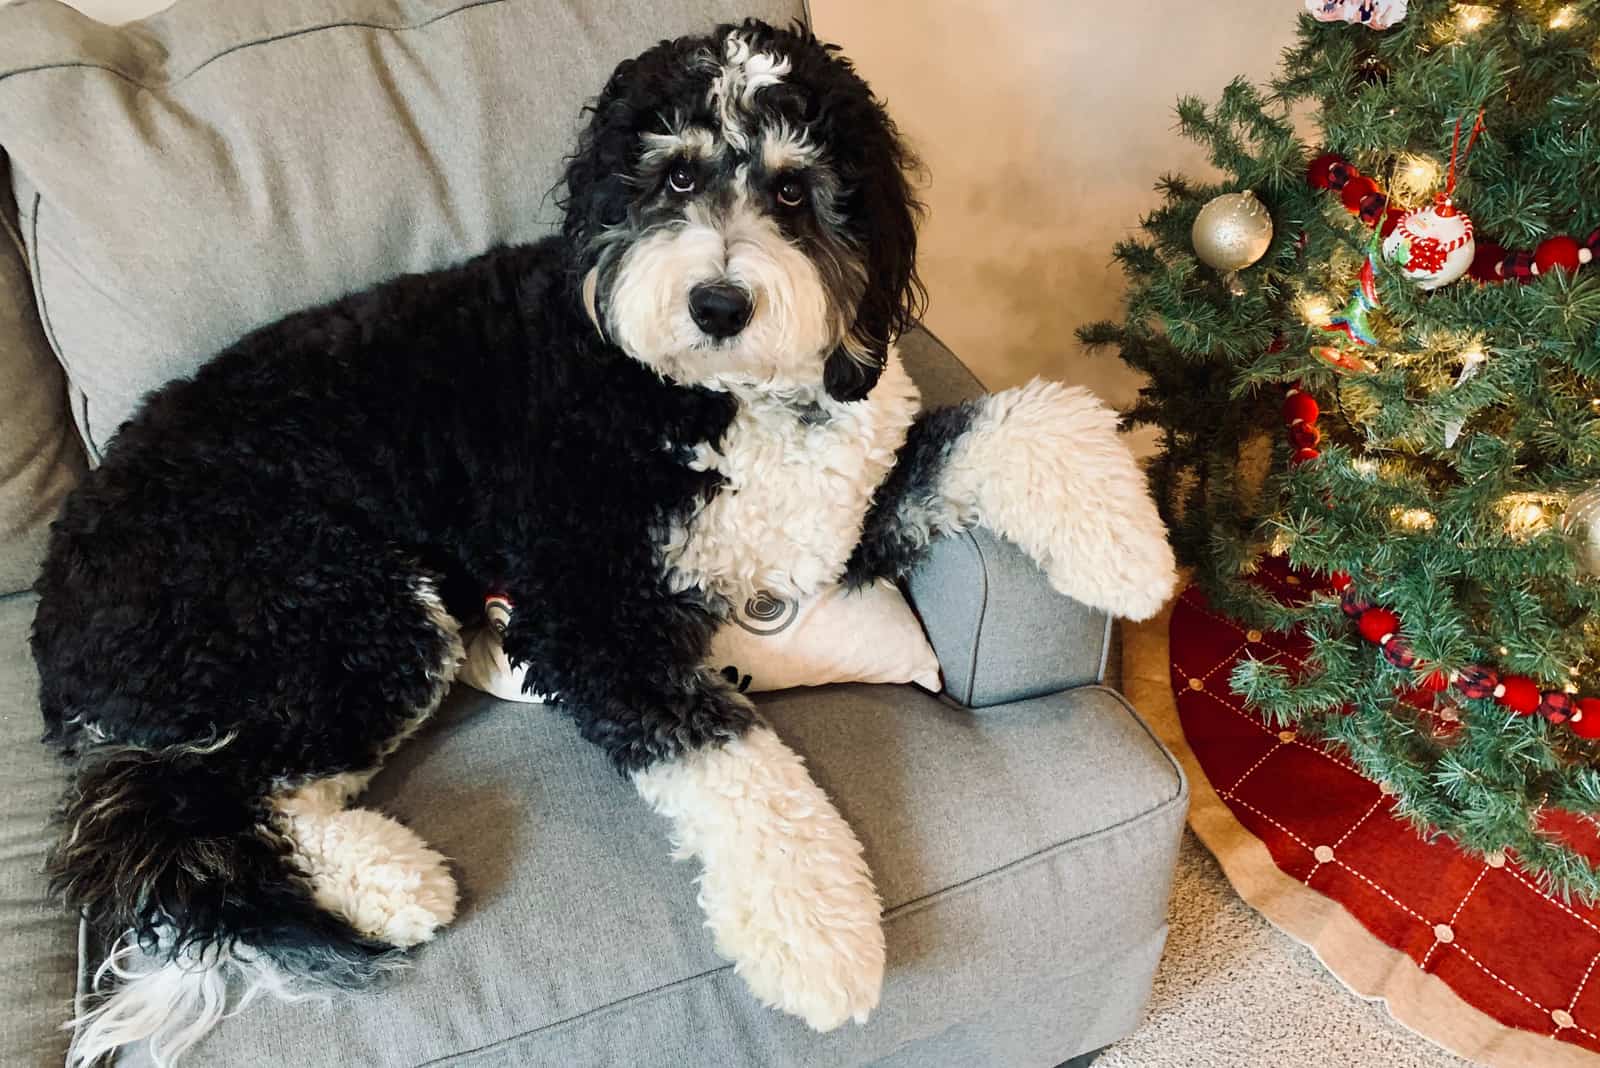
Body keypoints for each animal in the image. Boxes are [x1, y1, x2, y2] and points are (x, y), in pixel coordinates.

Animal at [34, 18, 1177, 1068]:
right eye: (674, 176)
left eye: (794, 192)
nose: (718, 302)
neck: (715, 395)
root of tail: (59, 603)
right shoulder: (588, 616)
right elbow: (737, 763)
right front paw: (822, 939)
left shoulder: (839, 515)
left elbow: (1012, 421)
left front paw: (1131, 547)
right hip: (337, 604)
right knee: (187, 807)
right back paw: (393, 880)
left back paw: (384, 880)